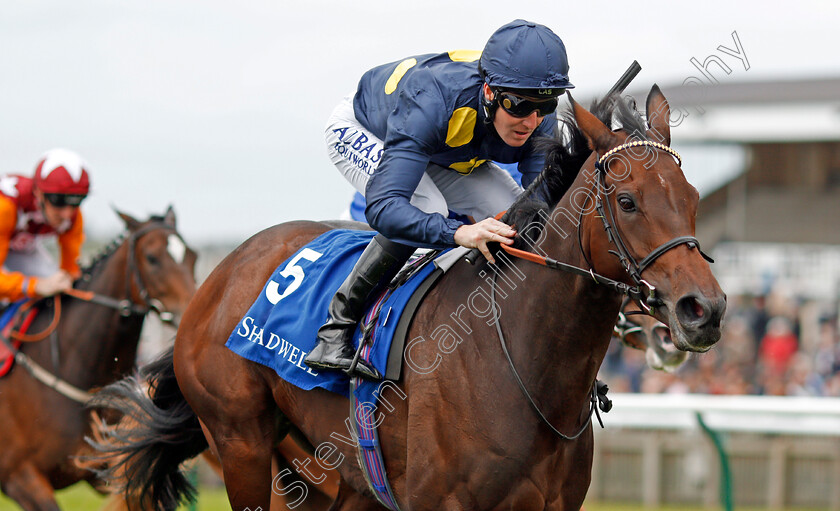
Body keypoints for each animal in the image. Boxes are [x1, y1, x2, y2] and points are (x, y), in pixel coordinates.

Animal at [92, 86, 724, 510]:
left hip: (328, 473)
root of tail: (220, 273)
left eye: (693, 196)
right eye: (628, 201)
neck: (522, 362)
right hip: (240, 442)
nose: (705, 310)